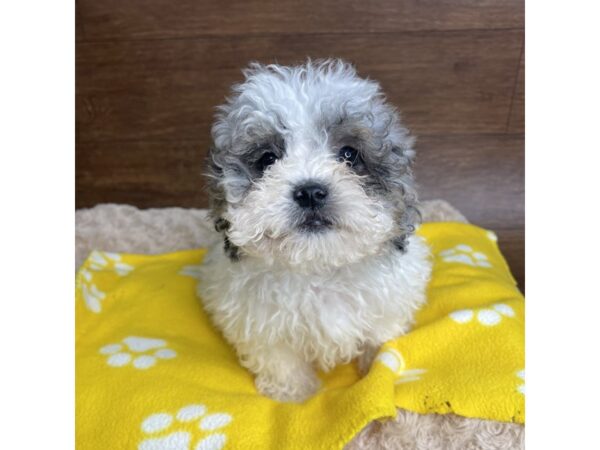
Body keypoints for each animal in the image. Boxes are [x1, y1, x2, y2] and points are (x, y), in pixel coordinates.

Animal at [200, 59, 432, 400]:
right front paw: (293, 395)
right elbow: (279, 359)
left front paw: (376, 372)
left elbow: (380, 337)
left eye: (349, 154)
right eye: (268, 159)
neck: (318, 269)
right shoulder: (259, 323)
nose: (310, 192)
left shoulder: (389, 305)